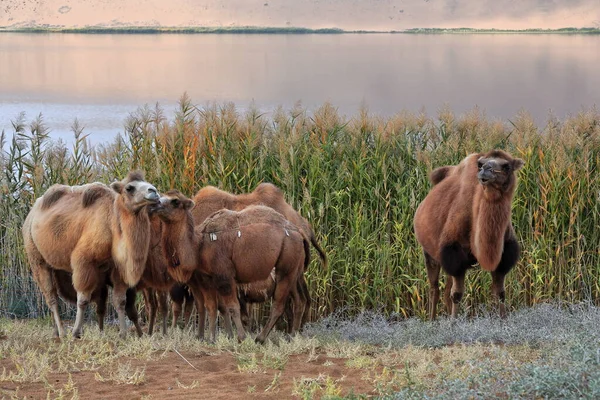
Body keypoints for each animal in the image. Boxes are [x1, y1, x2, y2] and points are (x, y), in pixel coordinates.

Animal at [23, 172, 159, 338]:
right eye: (129, 188)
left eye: (148, 183)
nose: (154, 191)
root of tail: (31, 214)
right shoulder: (84, 261)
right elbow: (82, 299)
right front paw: (76, 332)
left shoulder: (117, 269)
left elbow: (120, 301)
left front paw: (123, 334)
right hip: (35, 255)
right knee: (52, 297)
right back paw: (62, 332)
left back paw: (55, 332)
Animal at [414, 149, 524, 318]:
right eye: (480, 164)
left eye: (507, 166)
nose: (486, 169)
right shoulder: (454, 254)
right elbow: (457, 294)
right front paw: (453, 321)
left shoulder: (503, 258)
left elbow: (500, 293)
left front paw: (503, 319)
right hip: (430, 253)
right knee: (434, 289)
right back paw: (432, 320)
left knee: (445, 290)